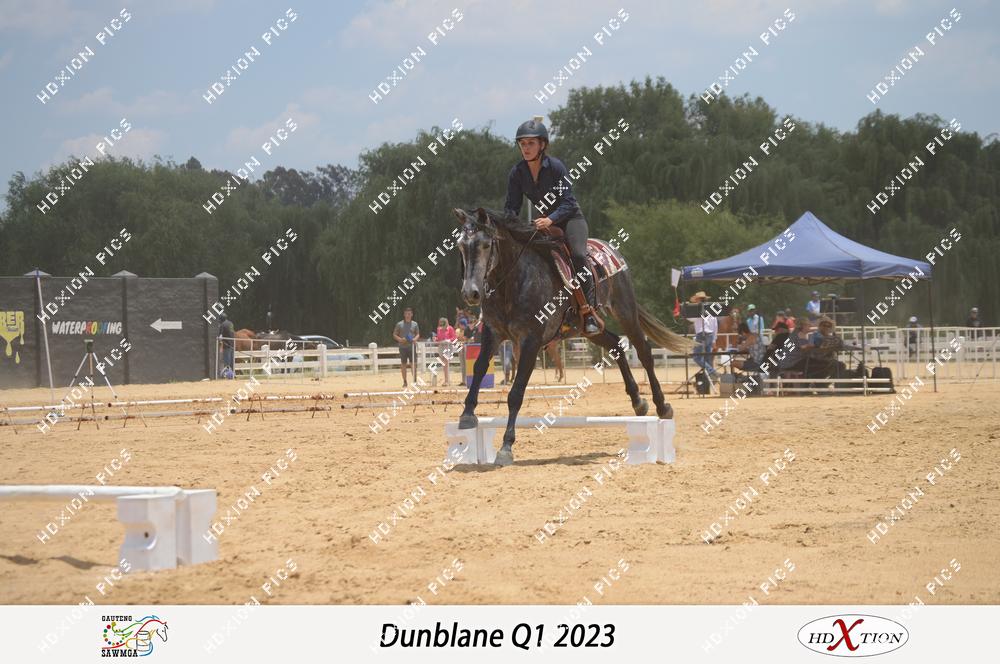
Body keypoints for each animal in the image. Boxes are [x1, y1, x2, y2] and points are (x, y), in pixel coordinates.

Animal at [454, 207, 692, 466]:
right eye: (461, 246)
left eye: (486, 245)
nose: (471, 293)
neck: (513, 282)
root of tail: (610, 249)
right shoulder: (492, 333)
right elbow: (478, 368)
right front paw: (467, 415)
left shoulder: (531, 341)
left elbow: (516, 393)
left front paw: (506, 446)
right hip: (587, 328)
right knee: (616, 345)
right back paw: (638, 402)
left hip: (625, 310)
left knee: (644, 352)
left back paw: (662, 406)